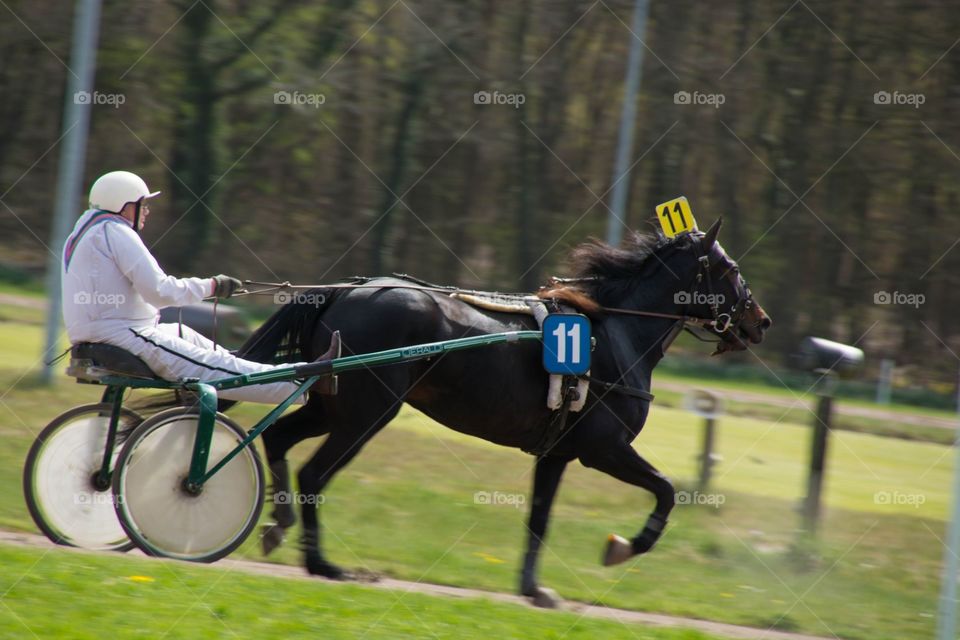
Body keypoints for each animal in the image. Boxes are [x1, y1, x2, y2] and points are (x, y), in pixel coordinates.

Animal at [236, 219, 771, 604]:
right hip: (367, 415)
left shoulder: (557, 453)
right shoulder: (605, 449)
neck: (617, 334)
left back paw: (279, 525)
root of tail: (347, 290)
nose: (761, 321)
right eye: (730, 269)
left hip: (331, 407)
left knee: (278, 440)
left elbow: (539, 518)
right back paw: (323, 564)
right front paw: (624, 546)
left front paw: (533, 588)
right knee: (313, 474)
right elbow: (666, 490)